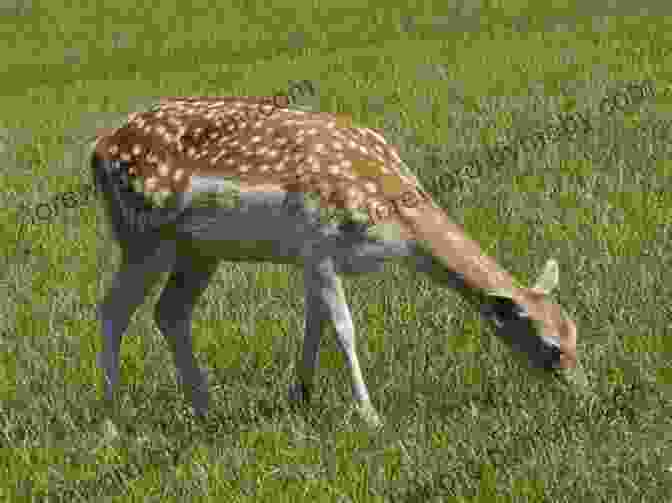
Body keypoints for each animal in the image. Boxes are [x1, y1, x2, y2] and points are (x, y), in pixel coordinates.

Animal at [89, 94, 584, 430]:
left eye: (575, 333)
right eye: (551, 347)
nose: (581, 391)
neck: (396, 224)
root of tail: (98, 150)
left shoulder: (311, 261)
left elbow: (316, 325)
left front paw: (301, 396)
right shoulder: (320, 243)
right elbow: (344, 328)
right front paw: (368, 413)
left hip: (198, 249)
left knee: (169, 311)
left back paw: (204, 408)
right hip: (144, 233)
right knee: (112, 309)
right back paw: (112, 419)